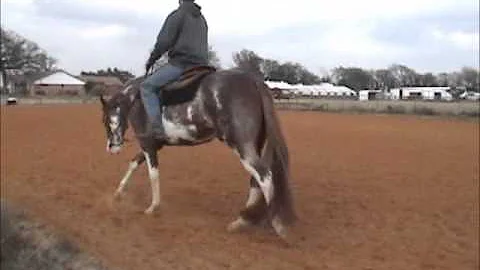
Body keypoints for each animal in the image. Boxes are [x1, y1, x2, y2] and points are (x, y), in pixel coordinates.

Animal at [100, 66, 296, 239]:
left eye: (107, 120)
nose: (111, 147)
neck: (136, 99)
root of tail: (253, 81)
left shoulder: (148, 144)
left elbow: (153, 174)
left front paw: (153, 207)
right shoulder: (152, 146)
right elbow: (133, 164)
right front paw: (118, 193)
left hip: (242, 146)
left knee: (264, 176)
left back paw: (274, 223)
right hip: (253, 146)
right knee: (256, 179)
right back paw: (243, 220)